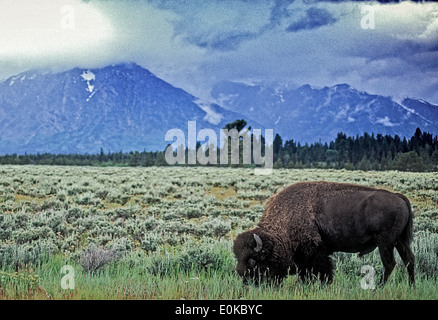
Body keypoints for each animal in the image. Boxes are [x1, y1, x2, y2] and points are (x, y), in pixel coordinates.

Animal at [233, 181, 414, 286]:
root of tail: (398, 196)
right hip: (400, 241)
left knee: (390, 263)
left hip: (385, 243)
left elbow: (322, 269)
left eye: (252, 261)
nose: (245, 280)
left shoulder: (315, 252)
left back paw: (378, 287)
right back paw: (411, 286)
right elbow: (307, 272)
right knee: (409, 260)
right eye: (237, 257)